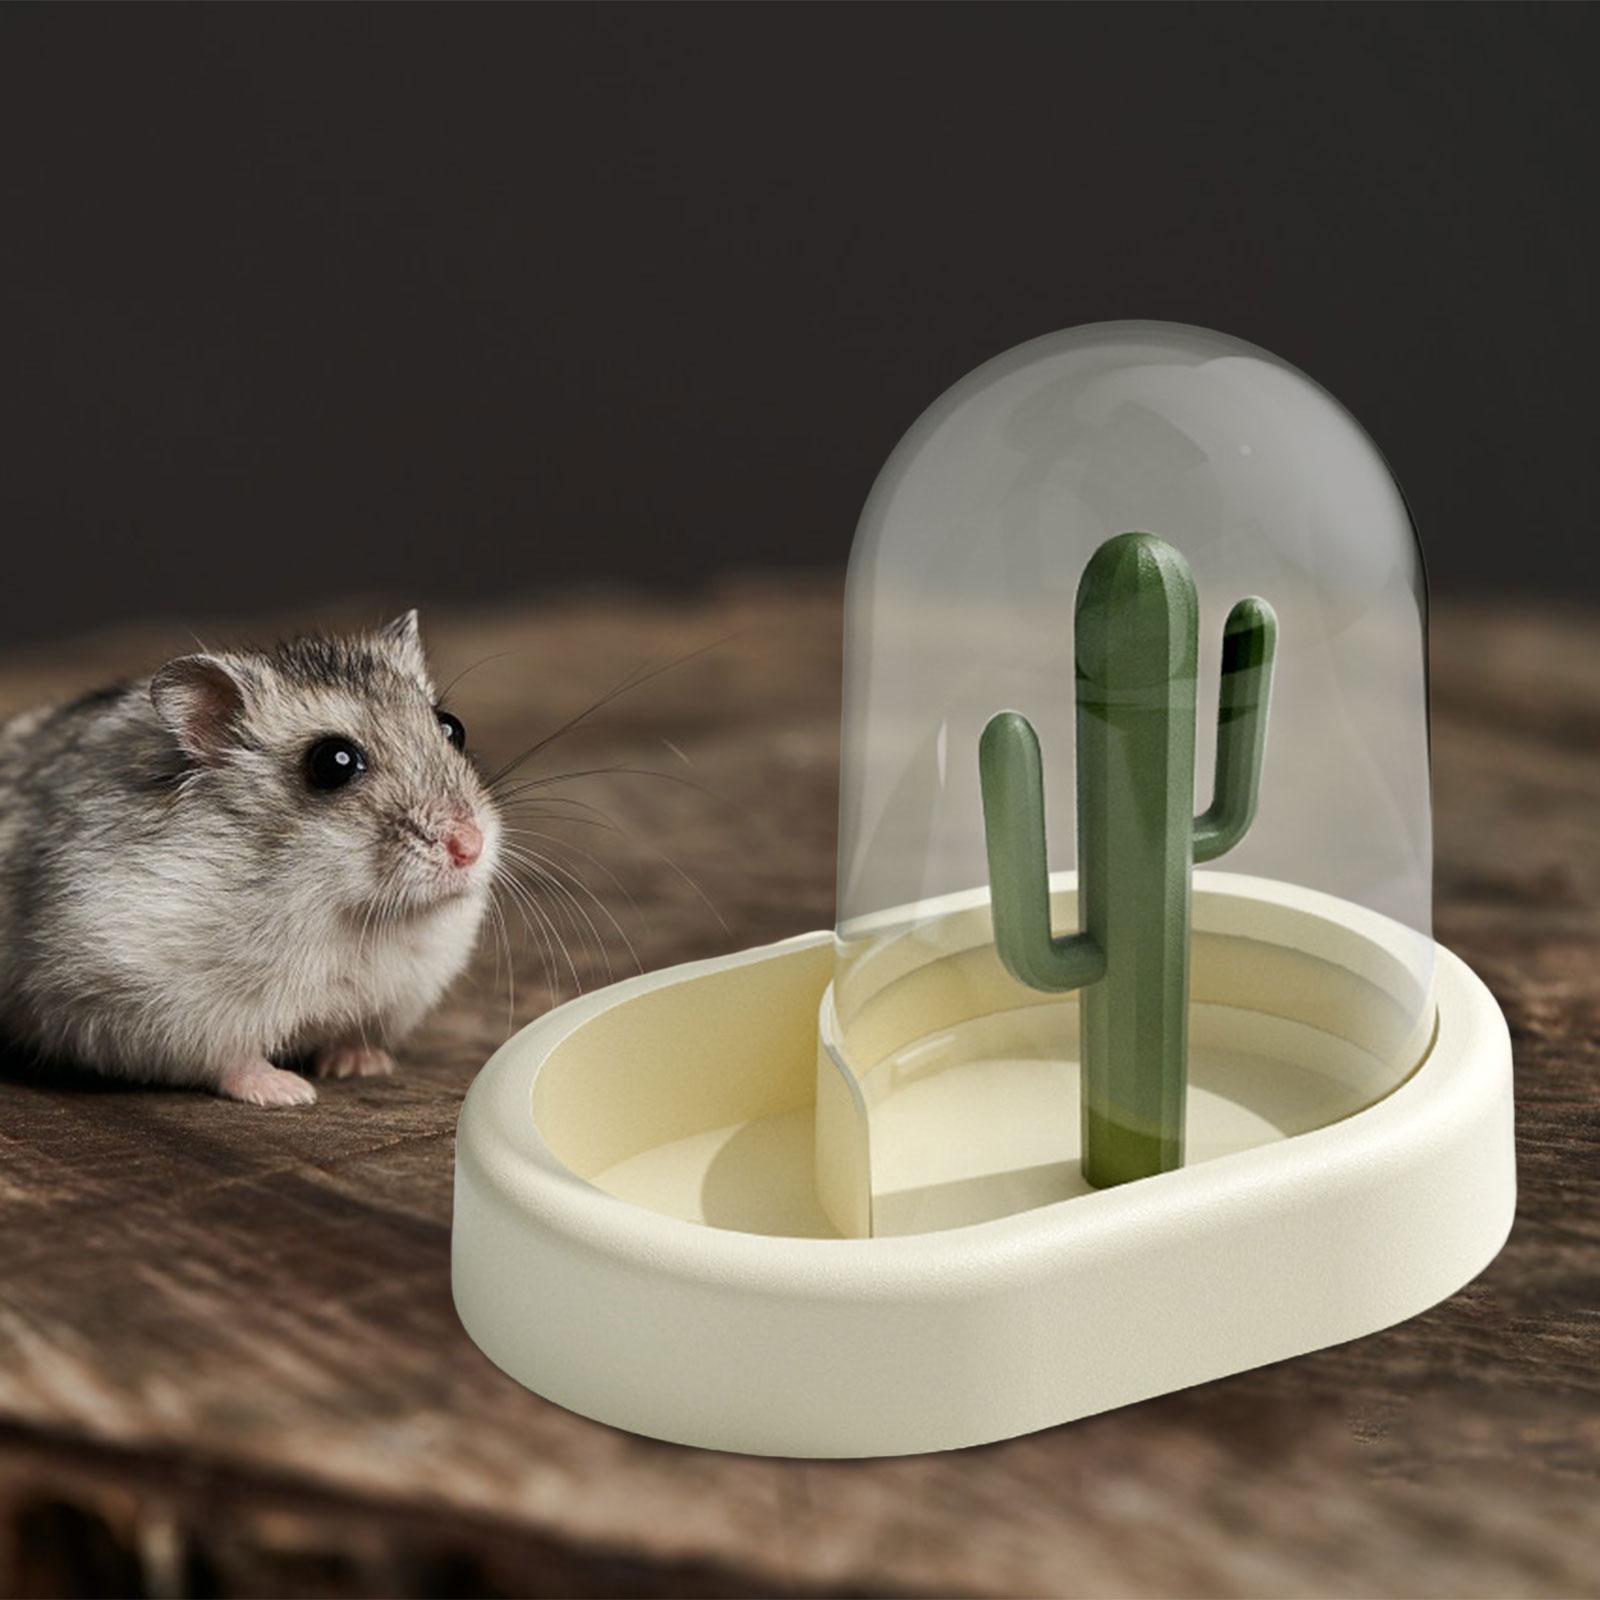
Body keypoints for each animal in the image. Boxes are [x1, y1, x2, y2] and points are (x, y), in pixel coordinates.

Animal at [0, 611, 501, 1106]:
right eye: (333, 762)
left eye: (452, 727)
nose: (469, 846)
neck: (341, 909)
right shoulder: (145, 996)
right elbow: (230, 1060)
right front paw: (290, 1091)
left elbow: (349, 1035)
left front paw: (364, 1064)